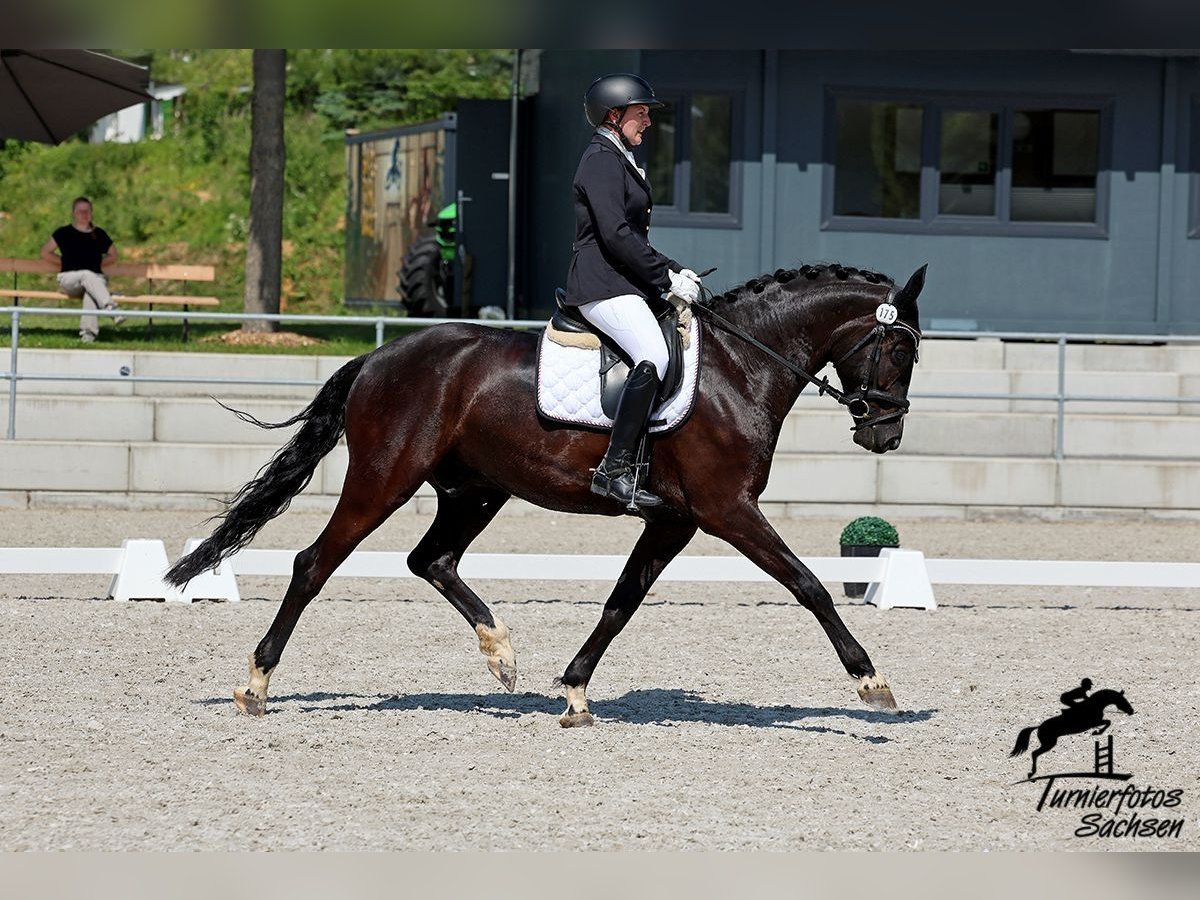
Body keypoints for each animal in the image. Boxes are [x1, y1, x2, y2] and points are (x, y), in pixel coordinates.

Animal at [166, 262, 927, 726]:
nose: (886, 434)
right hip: (385, 478)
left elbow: (621, 604)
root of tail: (377, 357)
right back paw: (256, 685)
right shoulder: (727, 511)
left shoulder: (675, 522)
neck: (740, 368)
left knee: (430, 560)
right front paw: (872, 682)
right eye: (899, 351)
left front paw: (575, 691)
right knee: (314, 564)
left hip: (474, 491)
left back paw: (500, 652)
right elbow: (810, 585)